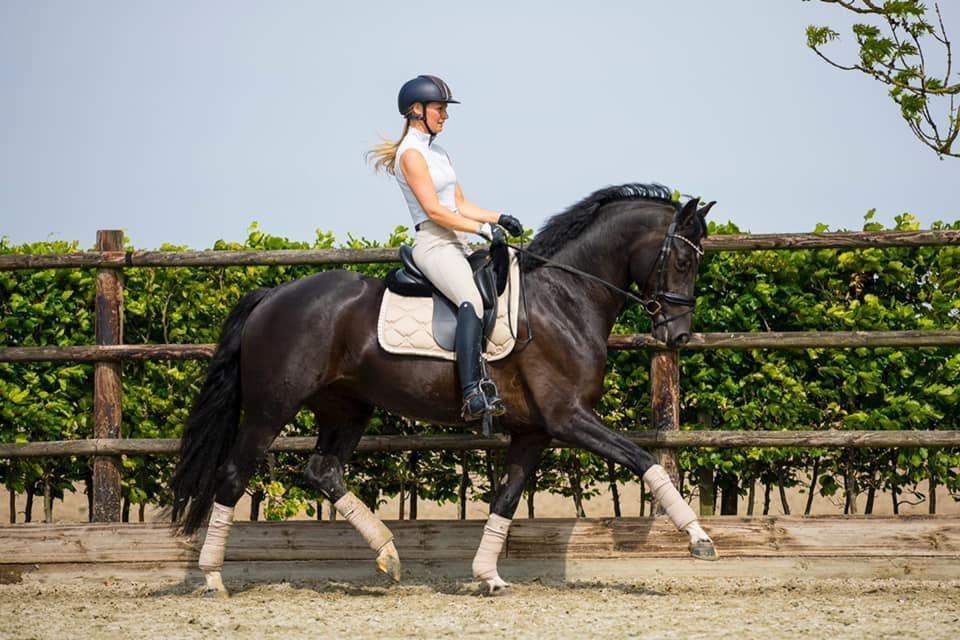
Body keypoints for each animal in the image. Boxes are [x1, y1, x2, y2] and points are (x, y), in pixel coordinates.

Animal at [171, 183, 718, 597]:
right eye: (684, 261)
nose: (678, 336)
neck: (566, 298)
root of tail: (273, 295)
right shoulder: (568, 417)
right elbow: (642, 459)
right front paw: (698, 538)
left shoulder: (535, 431)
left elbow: (506, 498)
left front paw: (488, 576)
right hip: (271, 408)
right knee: (233, 475)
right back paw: (213, 578)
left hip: (346, 407)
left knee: (323, 470)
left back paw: (389, 555)